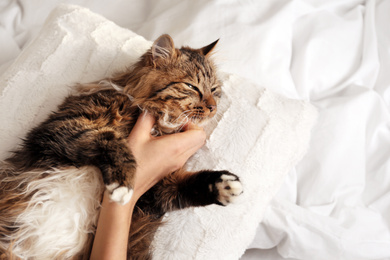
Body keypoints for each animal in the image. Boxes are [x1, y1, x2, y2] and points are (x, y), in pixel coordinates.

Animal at [0, 34, 242, 260]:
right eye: (192, 87)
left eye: (214, 89)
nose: (212, 107)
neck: (159, 120)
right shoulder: (61, 128)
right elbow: (111, 141)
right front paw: (122, 184)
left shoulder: (153, 192)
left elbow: (187, 186)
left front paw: (224, 185)